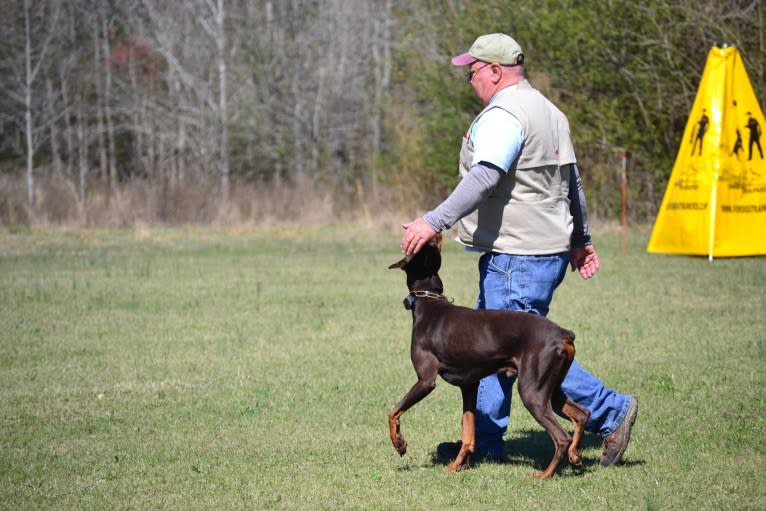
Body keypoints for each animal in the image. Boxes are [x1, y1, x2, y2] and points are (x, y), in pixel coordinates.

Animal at [390, 238, 592, 478]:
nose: (432, 235)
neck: (429, 303)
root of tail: (563, 334)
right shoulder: (469, 385)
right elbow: (468, 432)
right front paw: (456, 466)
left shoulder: (425, 380)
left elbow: (393, 412)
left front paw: (399, 444)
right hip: (551, 388)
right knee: (582, 414)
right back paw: (575, 456)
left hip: (532, 391)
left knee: (561, 437)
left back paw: (544, 474)